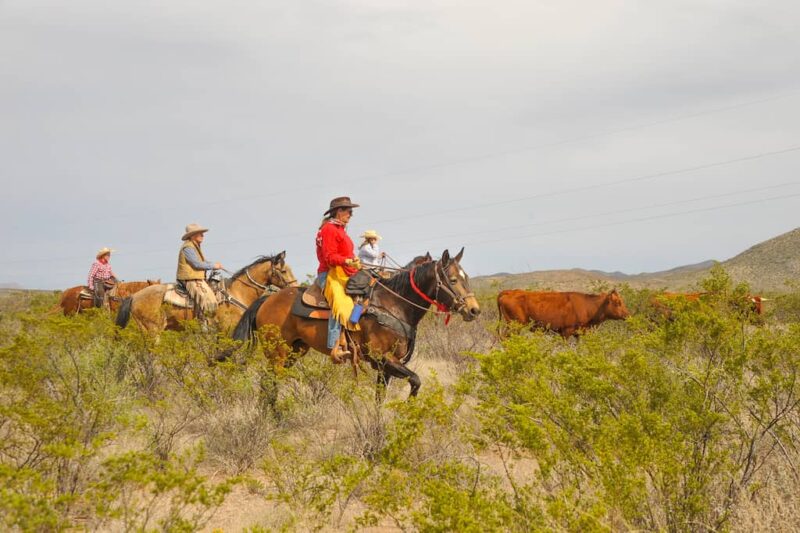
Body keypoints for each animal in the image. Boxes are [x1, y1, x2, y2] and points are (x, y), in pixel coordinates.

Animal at [231, 247, 482, 396]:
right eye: (452, 279)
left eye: (466, 278)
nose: (474, 310)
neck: (394, 305)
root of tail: (267, 299)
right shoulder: (383, 358)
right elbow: (416, 380)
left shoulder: (386, 367)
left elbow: (380, 397)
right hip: (278, 352)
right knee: (268, 383)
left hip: (295, 350)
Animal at [496, 288, 628, 338]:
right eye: (618, 302)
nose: (628, 314)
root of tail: (509, 292)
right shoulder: (566, 332)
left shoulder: (578, 334)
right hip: (514, 326)